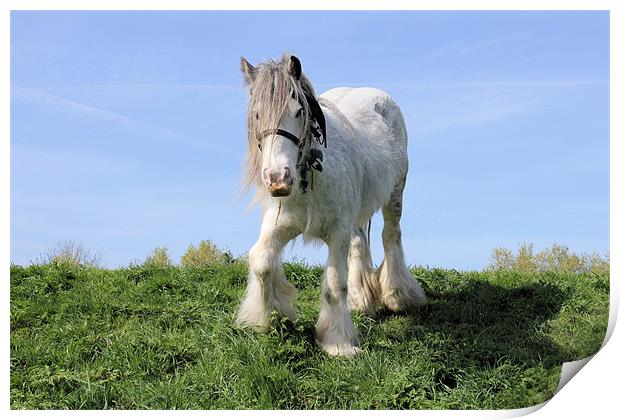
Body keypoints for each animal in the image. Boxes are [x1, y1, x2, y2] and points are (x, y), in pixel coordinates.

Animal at [236, 53, 426, 358]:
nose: (278, 179)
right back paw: (362, 299)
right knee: (360, 243)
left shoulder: (337, 234)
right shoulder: (280, 225)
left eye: (299, 112)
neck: (309, 173)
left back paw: (399, 295)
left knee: (391, 235)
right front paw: (268, 318)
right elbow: (261, 261)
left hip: (396, 192)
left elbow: (335, 285)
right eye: (256, 115)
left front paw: (337, 342)